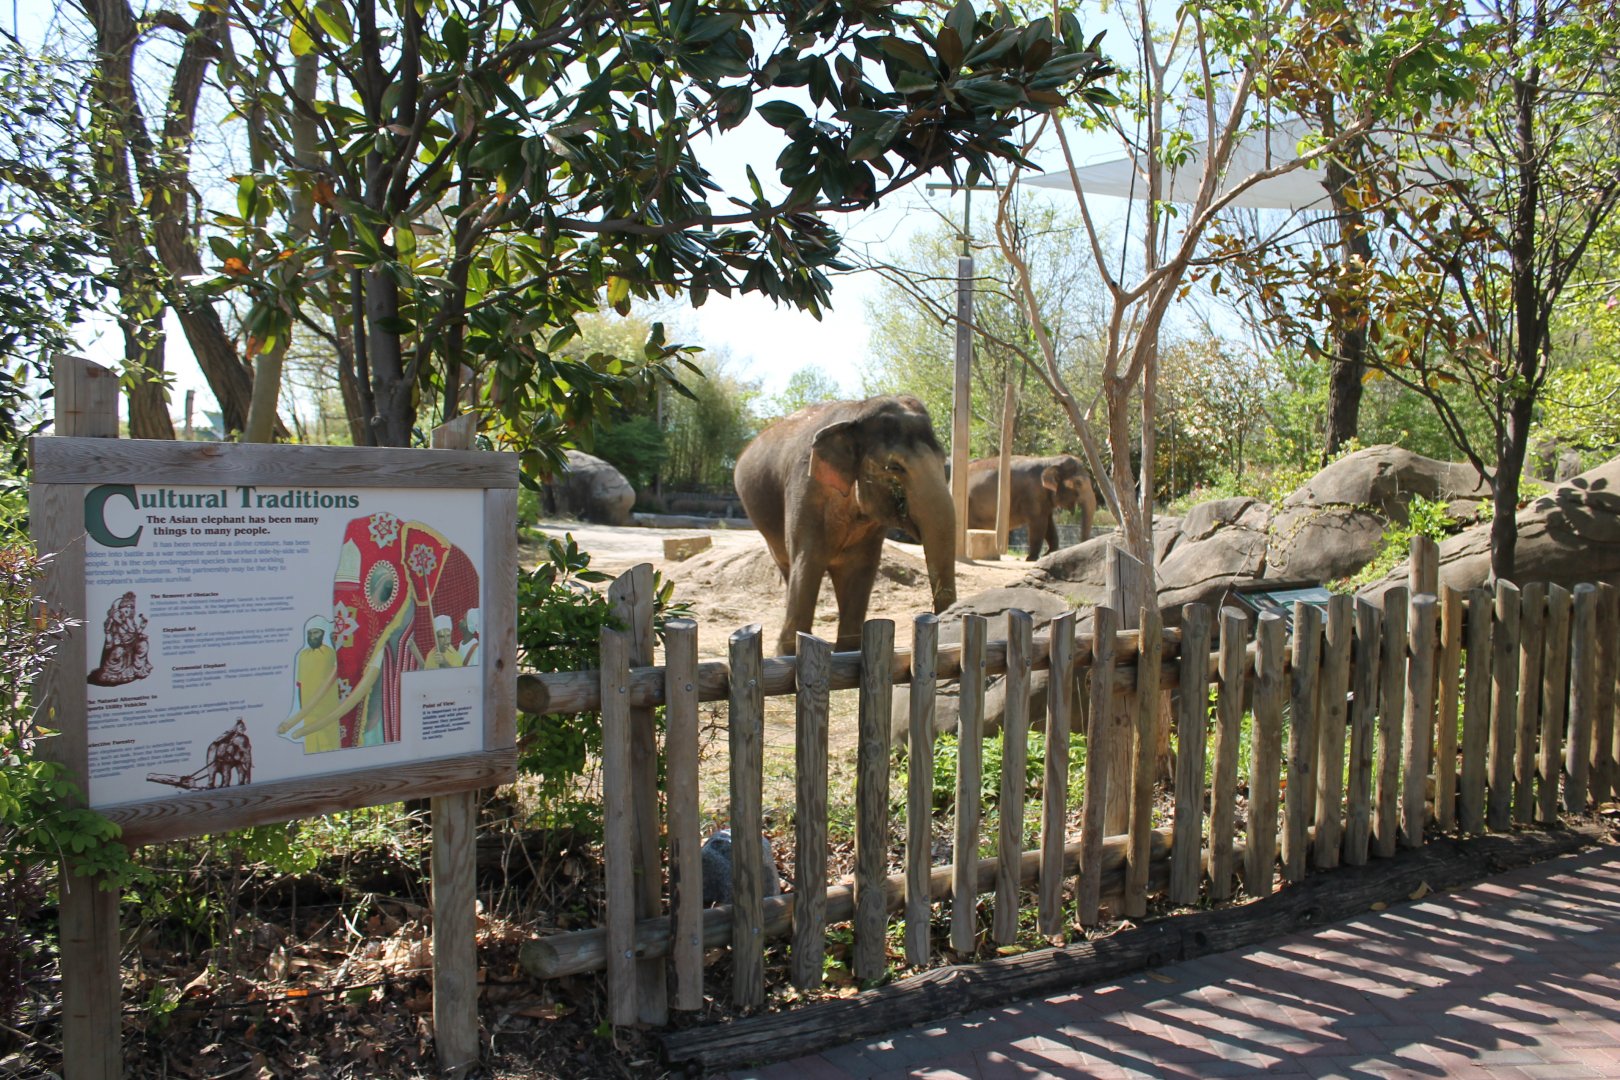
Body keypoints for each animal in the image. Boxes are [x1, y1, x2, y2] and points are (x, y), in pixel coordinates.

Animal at [734, 395, 958, 657]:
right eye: (895, 467)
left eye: (943, 464)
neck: (857, 413)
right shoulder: (805, 491)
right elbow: (807, 563)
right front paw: (787, 655)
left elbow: (858, 569)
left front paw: (848, 652)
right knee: (789, 567)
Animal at [965, 454, 1097, 561]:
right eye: (1078, 483)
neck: (1050, 460)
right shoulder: (1033, 493)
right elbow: (1039, 523)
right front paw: (1031, 558)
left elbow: (1049, 524)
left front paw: (1049, 554)